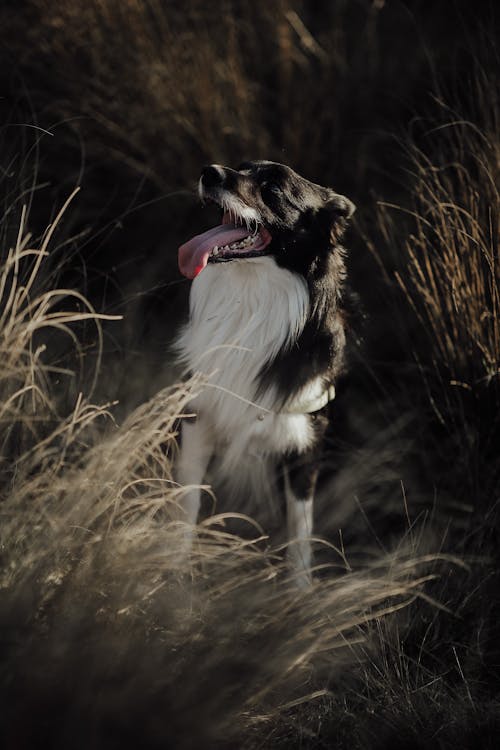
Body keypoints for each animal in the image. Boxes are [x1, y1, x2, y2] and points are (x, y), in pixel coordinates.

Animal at [176, 160, 356, 588]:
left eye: (272, 189)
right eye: (240, 167)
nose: (209, 171)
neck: (252, 299)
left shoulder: (304, 442)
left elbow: (300, 531)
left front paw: (300, 593)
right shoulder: (198, 418)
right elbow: (187, 503)